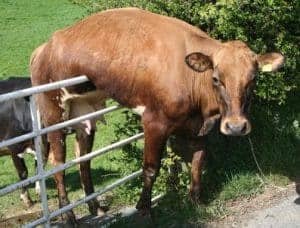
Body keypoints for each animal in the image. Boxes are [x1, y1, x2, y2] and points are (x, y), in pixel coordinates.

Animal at [30, 7, 284, 223]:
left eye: (253, 79)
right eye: (216, 78)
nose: (236, 126)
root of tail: (44, 46)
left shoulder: (201, 127)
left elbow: (197, 162)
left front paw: (195, 202)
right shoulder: (155, 122)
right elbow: (151, 169)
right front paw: (144, 211)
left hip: (85, 112)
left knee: (84, 158)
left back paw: (96, 207)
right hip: (53, 112)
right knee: (57, 162)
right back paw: (68, 216)